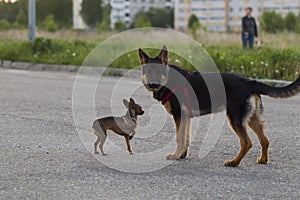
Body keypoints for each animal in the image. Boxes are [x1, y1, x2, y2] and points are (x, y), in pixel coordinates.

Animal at [139, 46, 300, 166]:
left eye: (158, 72)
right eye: (148, 72)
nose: (152, 84)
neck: (168, 79)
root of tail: (249, 82)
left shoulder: (179, 116)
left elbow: (180, 138)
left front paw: (175, 155)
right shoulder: (186, 118)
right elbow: (186, 138)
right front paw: (182, 155)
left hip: (235, 119)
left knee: (247, 143)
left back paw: (234, 162)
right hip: (251, 119)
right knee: (265, 140)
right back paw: (263, 160)